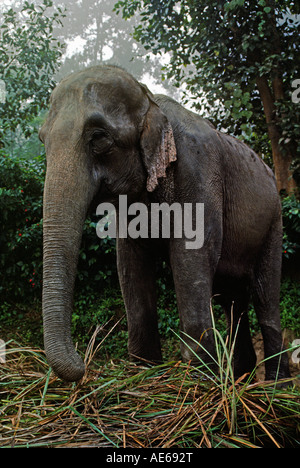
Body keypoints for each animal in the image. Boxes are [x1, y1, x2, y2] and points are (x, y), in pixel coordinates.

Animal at [39, 64, 290, 382]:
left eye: (99, 137)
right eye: (42, 139)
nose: (83, 363)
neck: (150, 101)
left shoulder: (199, 171)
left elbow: (190, 255)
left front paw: (199, 376)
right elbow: (131, 263)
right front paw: (145, 369)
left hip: (274, 222)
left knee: (265, 295)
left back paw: (274, 386)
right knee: (232, 299)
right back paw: (241, 379)